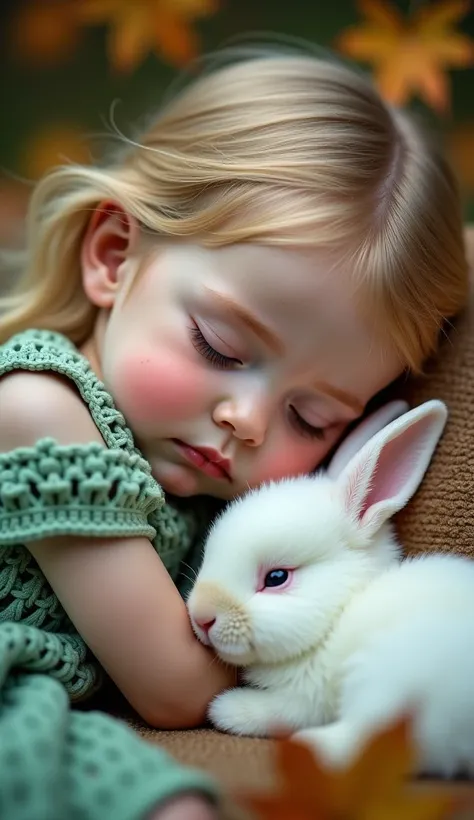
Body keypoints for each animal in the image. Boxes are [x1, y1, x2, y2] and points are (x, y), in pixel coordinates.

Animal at [188, 400, 474, 780]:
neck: (339, 615)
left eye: (276, 577)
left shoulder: (307, 695)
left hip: (391, 682)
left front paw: (226, 708)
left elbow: (281, 711)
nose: (201, 617)